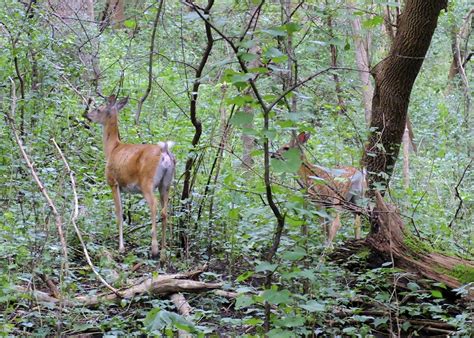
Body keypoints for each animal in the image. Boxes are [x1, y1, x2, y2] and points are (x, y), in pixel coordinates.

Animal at [84, 95, 175, 262]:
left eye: (99, 109)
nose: (87, 114)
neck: (112, 149)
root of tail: (165, 152)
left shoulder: (113, 182)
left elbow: (119, 214)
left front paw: (120, 248)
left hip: (147, 183)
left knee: (154, 205)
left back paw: (154, 249)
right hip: (166, 184)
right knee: (165, 211)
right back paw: (164, 253)